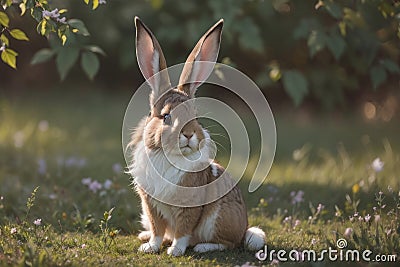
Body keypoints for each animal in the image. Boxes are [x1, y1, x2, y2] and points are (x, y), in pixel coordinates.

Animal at [128, 16, 266, 258]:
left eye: (195, 116)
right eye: (166, 116)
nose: (189, 134)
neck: (169, 157)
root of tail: (244, 228)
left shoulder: (189, 209)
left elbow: (183, 232)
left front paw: (175, 251)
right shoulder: (151, 206)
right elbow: (157, 230)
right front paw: (150, 247)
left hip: (218, 219)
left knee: (228, 242)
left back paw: (203, 247)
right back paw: (144, 236)